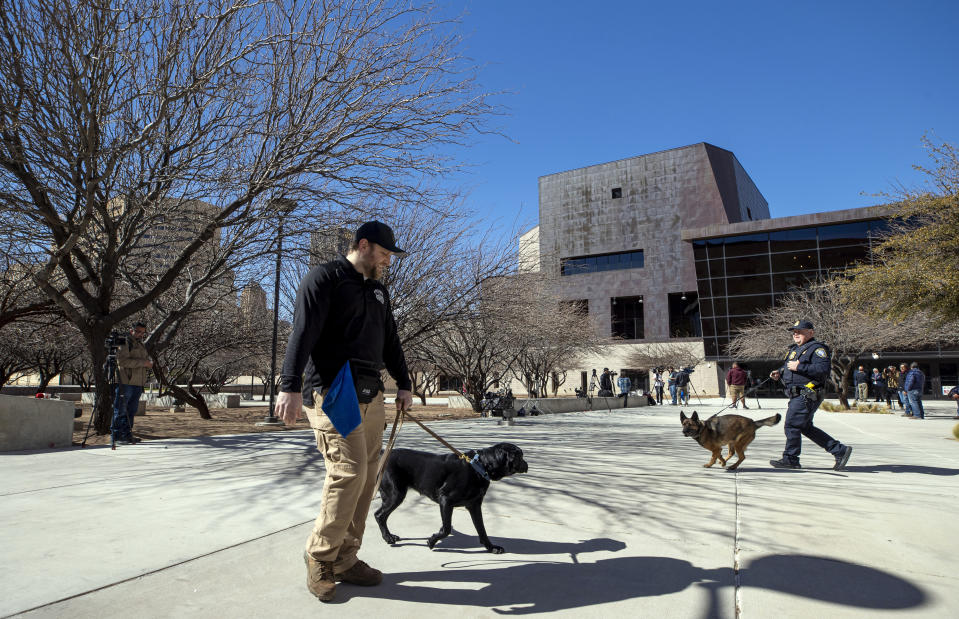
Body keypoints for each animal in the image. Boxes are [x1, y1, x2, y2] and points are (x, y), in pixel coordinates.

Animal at [376, 444, 528, 556]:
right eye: (520, 456)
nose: (527, 464)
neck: (479, 467)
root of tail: (383, 453)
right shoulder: (445, 500)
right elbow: (447, 529)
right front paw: (431, 541)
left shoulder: (474, 505)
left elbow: (482, 530)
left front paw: (491, 548)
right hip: (395, 494)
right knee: (379, 515)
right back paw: (388, 537)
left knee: (381, 515)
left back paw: (389, 536)